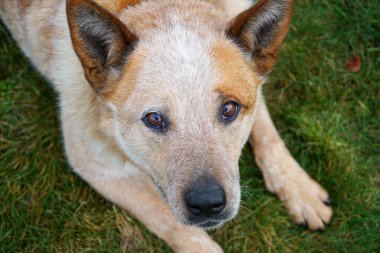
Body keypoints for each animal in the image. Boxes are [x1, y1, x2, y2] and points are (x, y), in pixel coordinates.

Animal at [0, 0, 332, 252]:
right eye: (154, 119)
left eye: (229, 109)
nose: (207, 204)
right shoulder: (95, 166)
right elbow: (168, 220)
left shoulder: (255, 85)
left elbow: (267, 132)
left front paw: (298, 188)